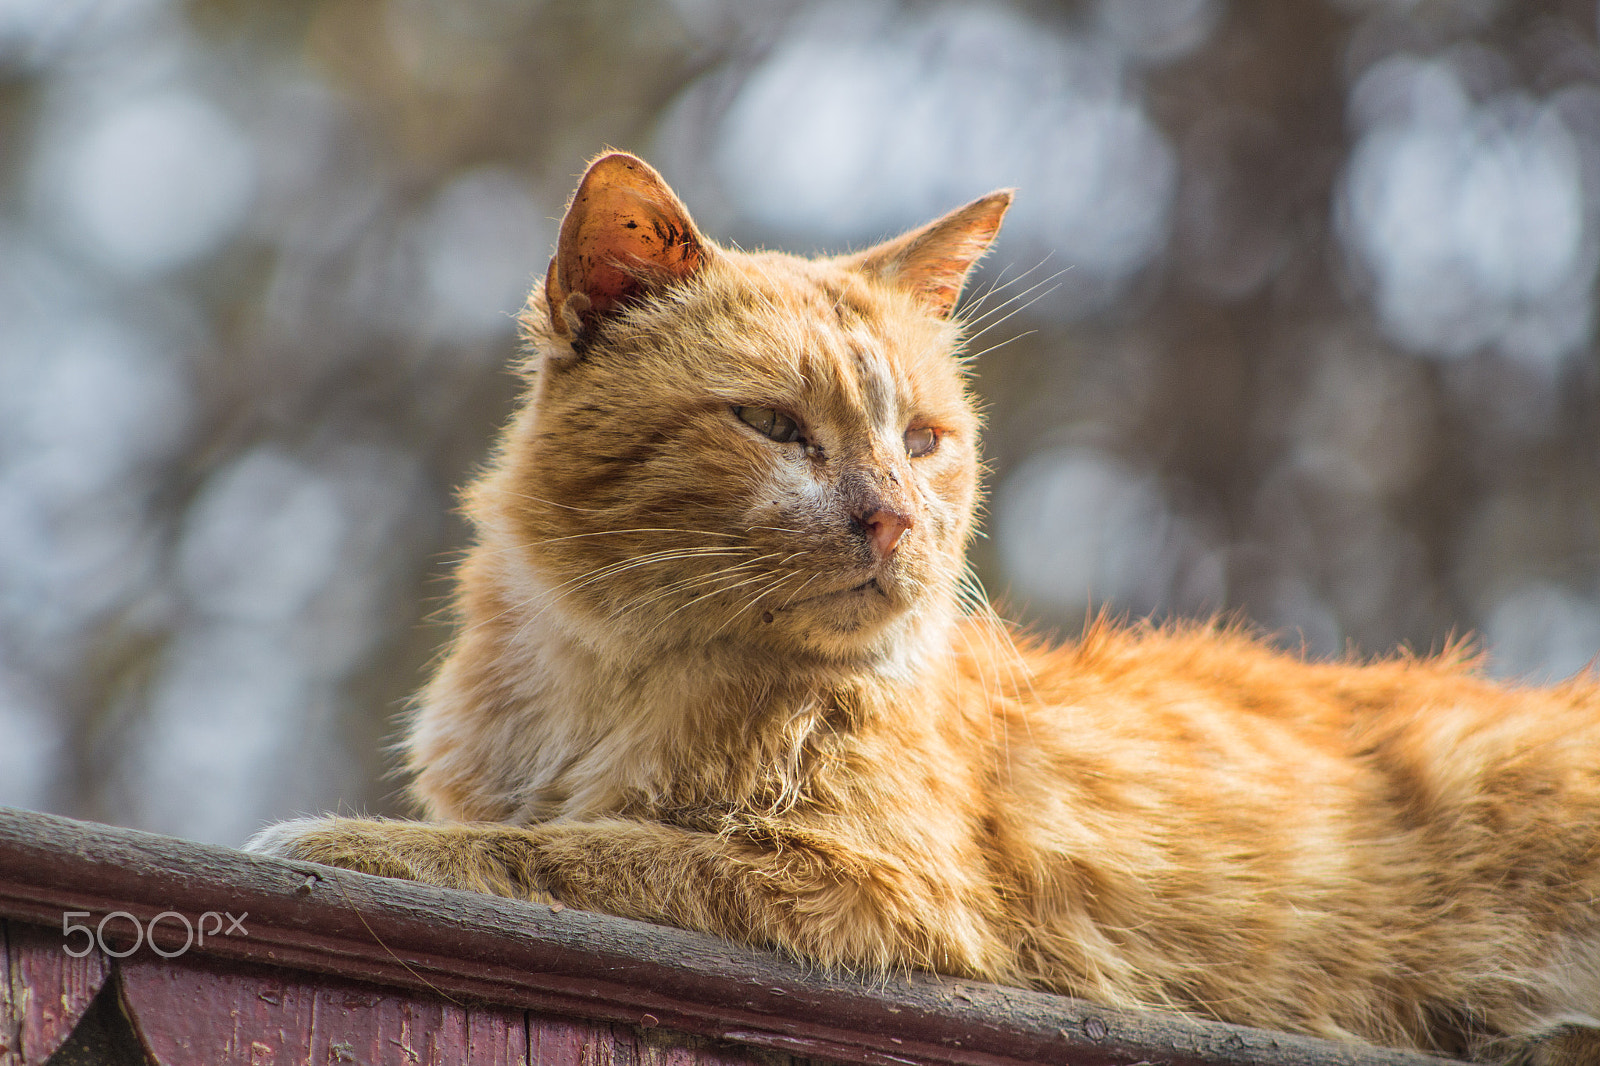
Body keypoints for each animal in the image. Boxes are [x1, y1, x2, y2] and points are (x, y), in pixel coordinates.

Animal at [243, 153, 1600, 1056]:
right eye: (773, 424)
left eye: (925, 440)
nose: (893, 517)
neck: (606, 680)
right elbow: (546, 836)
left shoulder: (870, 890)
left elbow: (559, 850)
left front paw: (333, 839)